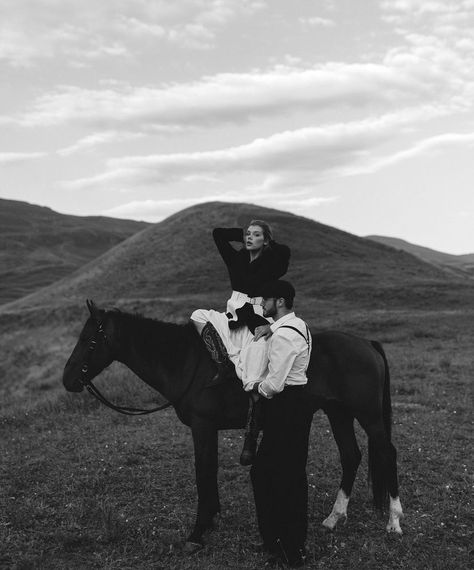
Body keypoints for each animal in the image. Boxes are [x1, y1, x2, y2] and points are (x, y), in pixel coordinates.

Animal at [63, 300, 404, 548]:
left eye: (88, 340)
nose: (68, 380)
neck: (187, 362)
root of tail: (366, 344)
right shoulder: (207, 429)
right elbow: (209, 470)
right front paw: (211, 520)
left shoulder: (202, 426)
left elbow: (203, 471)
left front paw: (198, 531)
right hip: (338, 413)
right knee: (351, 455)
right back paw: (335, 517)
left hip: (368, 415)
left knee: (387, 453)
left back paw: (394, 522)